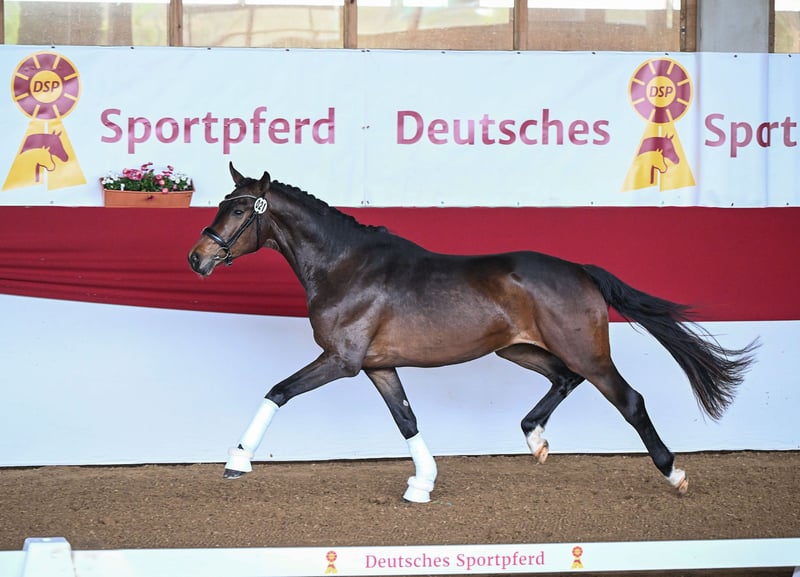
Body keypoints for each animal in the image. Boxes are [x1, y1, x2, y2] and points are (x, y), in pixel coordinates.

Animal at [188, 163, 758, 503]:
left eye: (237, 209)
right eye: (221, 204)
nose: (197, 258)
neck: (345, 266)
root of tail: (581, 270)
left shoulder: (342, 361)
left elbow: (278, 391)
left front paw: (237, 461)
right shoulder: (378, 366)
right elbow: (406, 420)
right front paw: (422, 484)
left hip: (586, 353)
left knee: (630, 400)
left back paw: (674, 473)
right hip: (520, 350)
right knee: (563, 380)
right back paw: (535, 439)